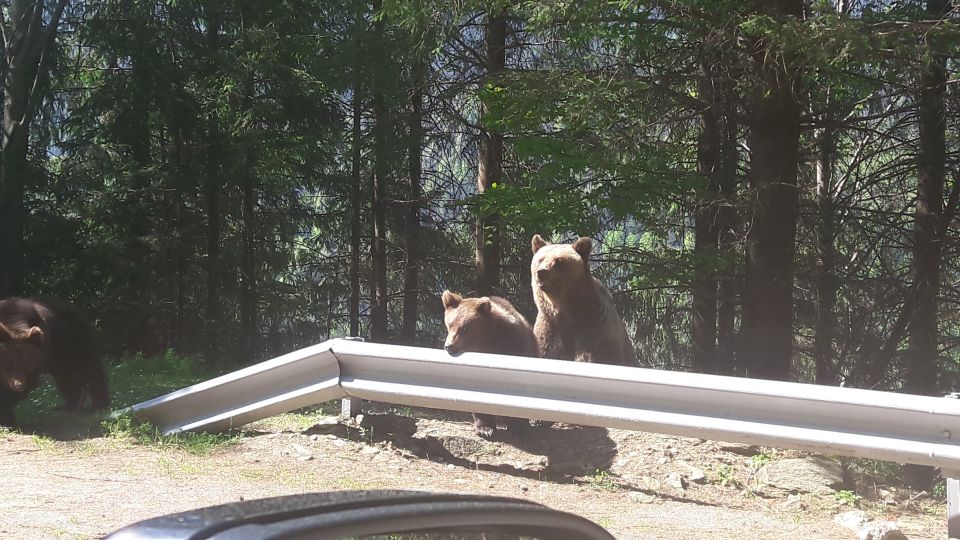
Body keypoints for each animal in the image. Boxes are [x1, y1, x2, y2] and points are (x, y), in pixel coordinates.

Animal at [0, 296, 109, 426]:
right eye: (9, 362)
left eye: (27, 363)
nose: (19, 385)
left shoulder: (34, 366)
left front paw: (7, 417)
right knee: (67, 379)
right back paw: (70, 407)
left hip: (73, 342)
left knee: (88, 370)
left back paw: (99, 405)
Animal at [442, 292, 540, 438]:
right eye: (449, 324)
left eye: (464, 328)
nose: (448, 346)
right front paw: (485, 429)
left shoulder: (515, 346)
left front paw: (519, 425)